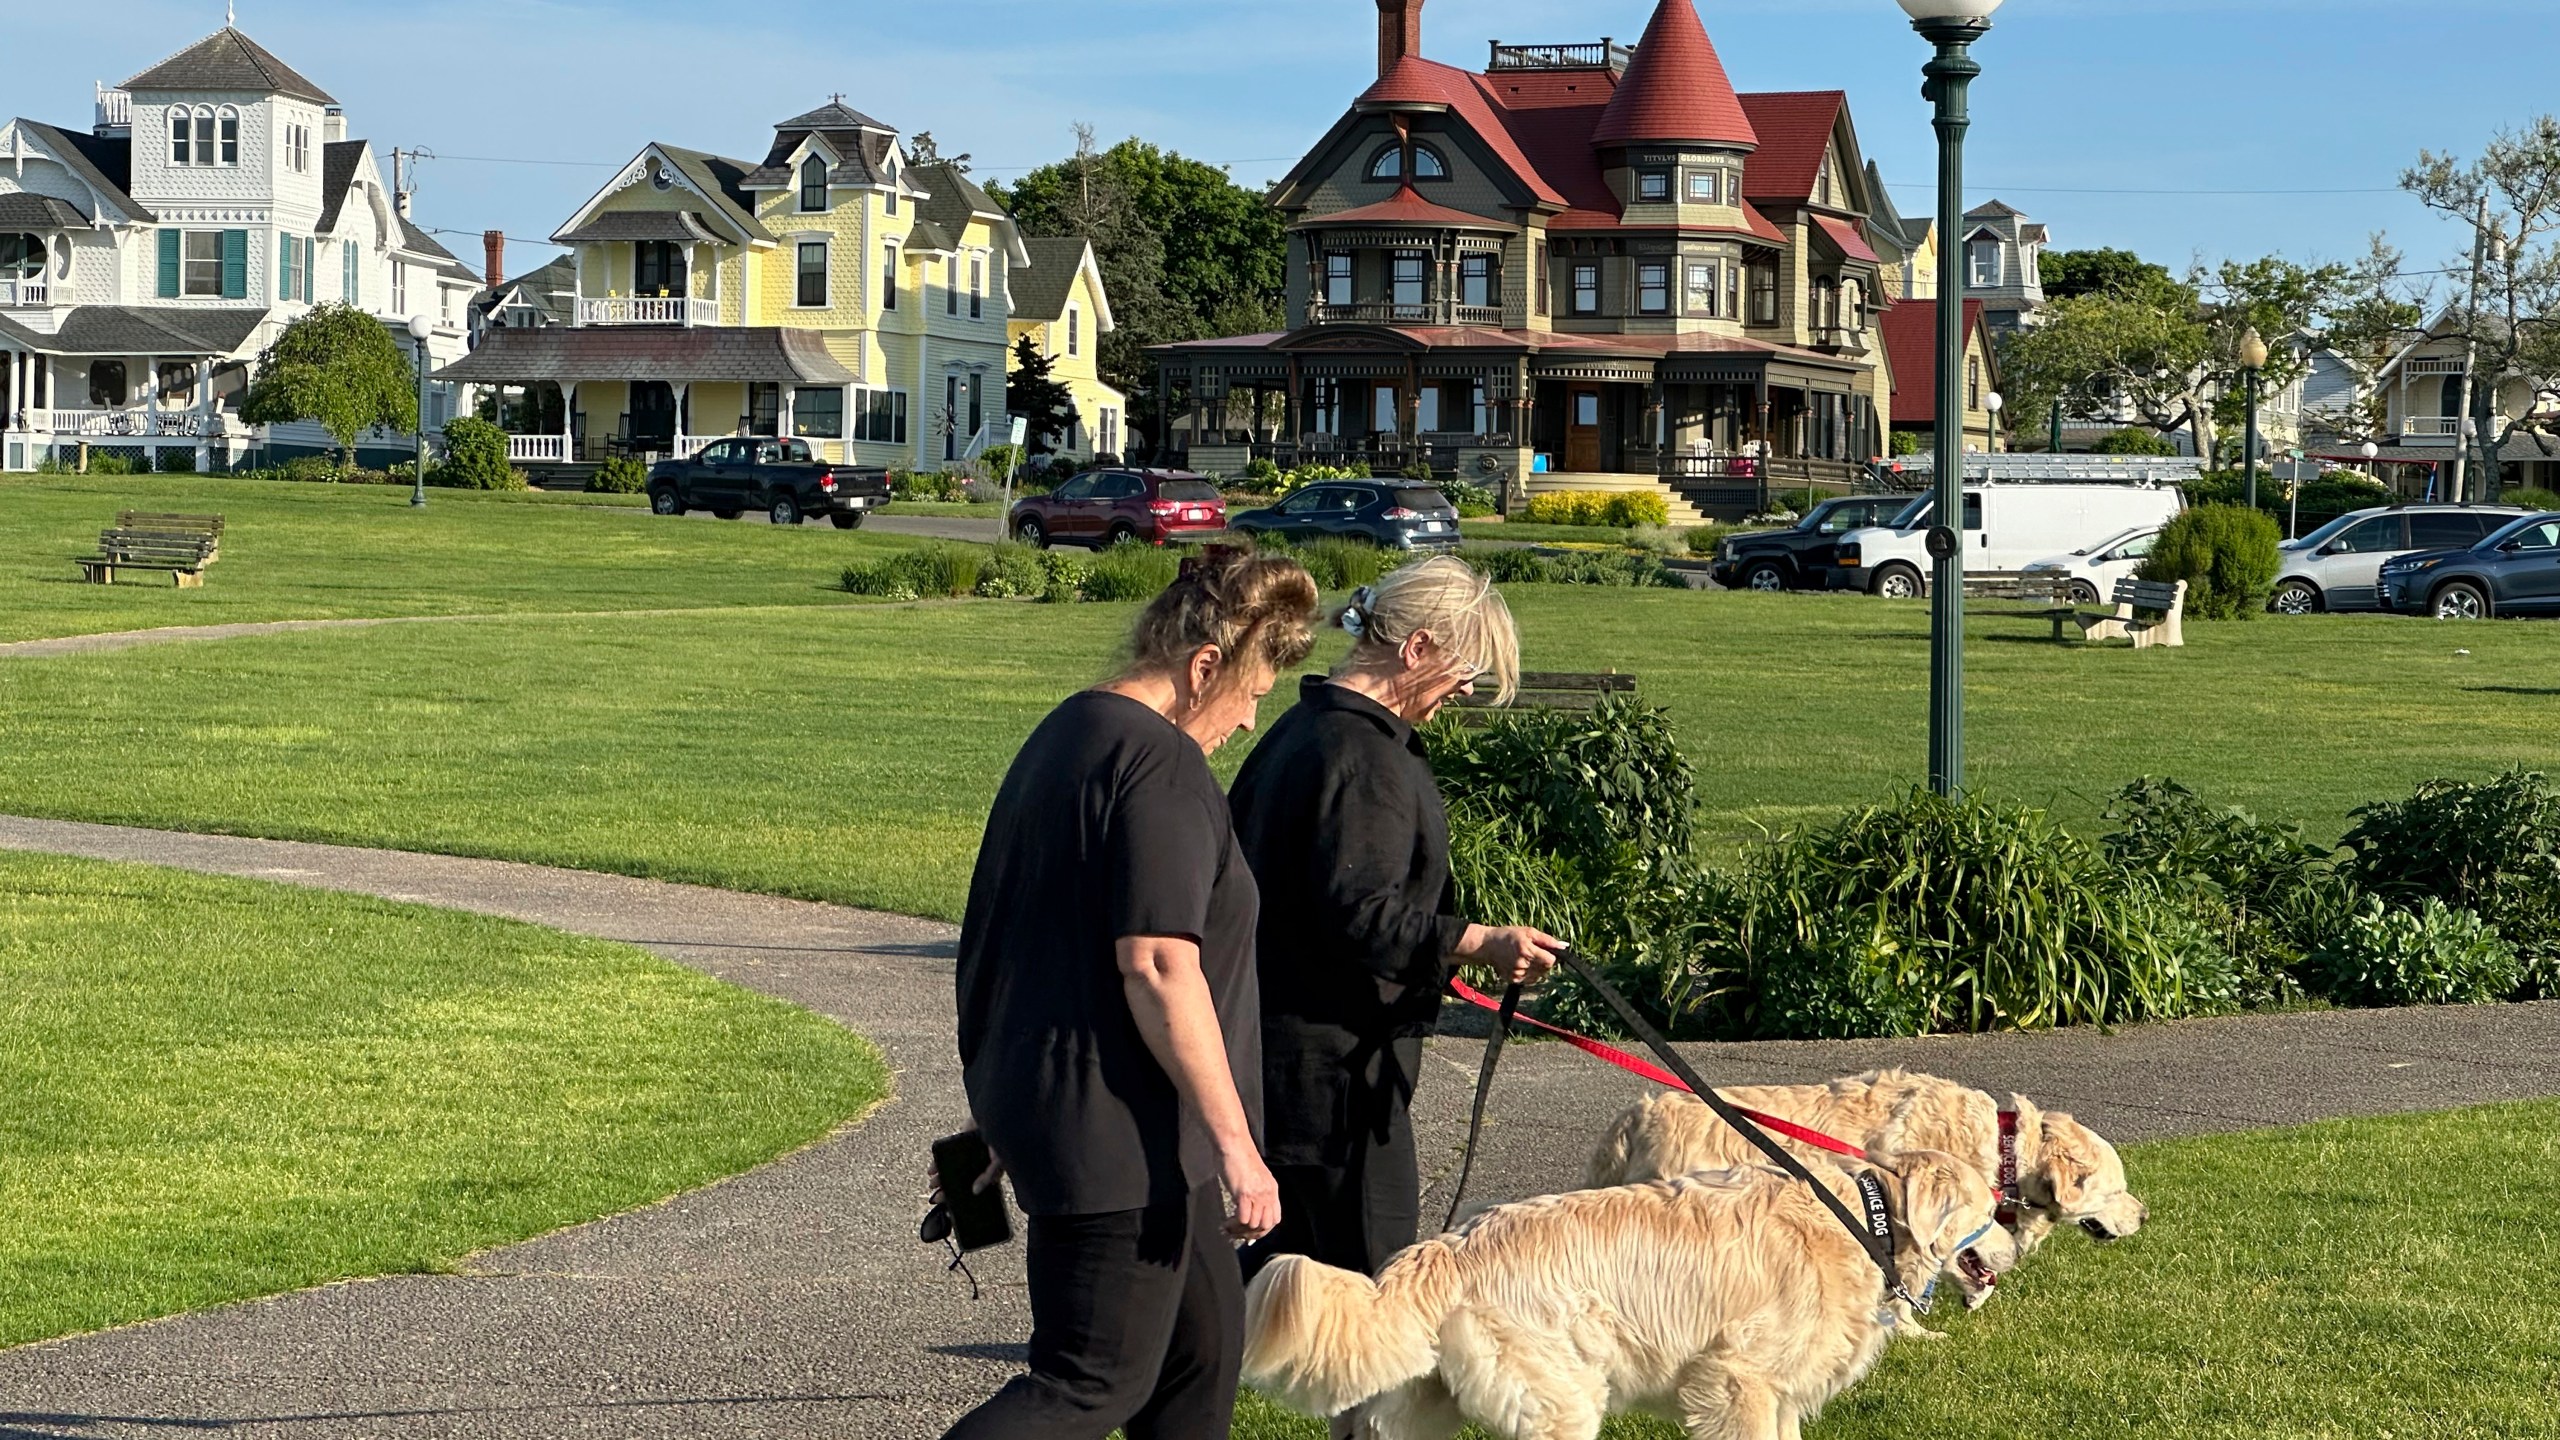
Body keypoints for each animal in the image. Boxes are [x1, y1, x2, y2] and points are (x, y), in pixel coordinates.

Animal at [1244, 1147, 2017, 1440]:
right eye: (1991, 1205)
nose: (2018, 1250)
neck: (1865, 1219)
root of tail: (1447, 1246)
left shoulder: (1778, 1395)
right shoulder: (1735, 1381)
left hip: (1421, 1411)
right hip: (1561, 1401)